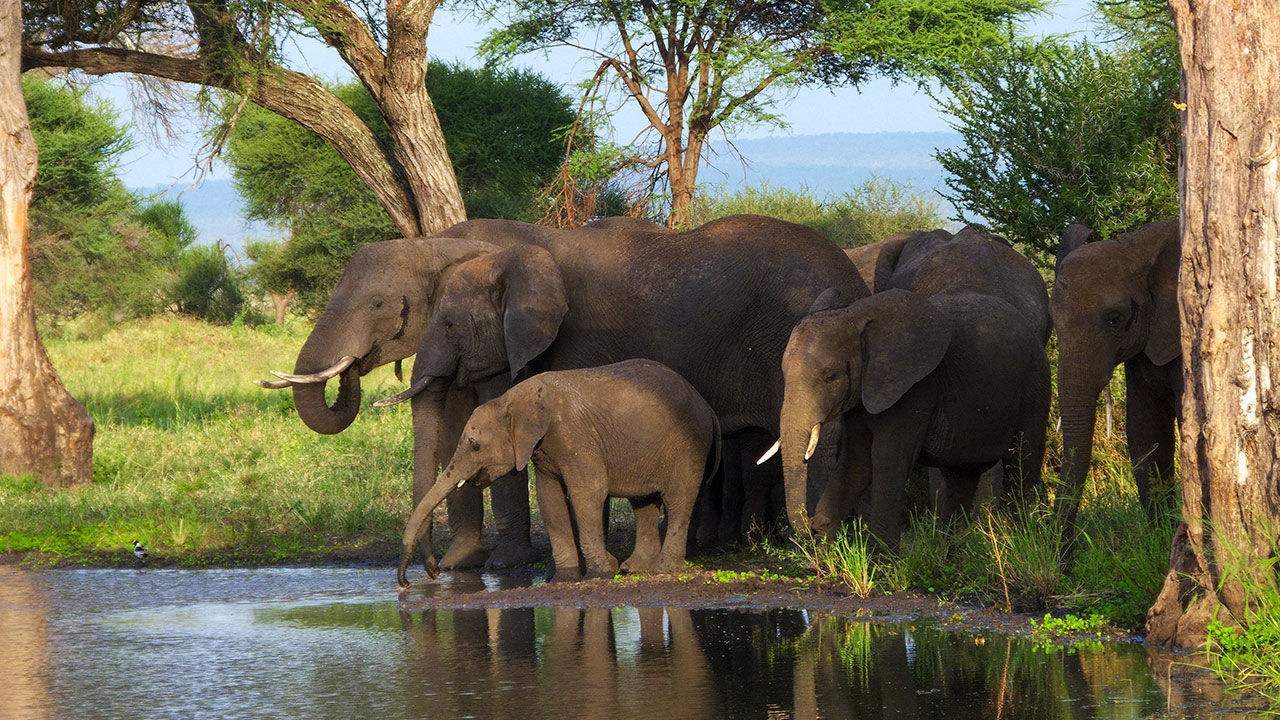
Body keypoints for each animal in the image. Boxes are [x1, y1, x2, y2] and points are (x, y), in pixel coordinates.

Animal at [398, 359, 720, 585]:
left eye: (475, 445)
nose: (431, 575)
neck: (513, 398)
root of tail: (707, 406)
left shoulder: (571, 433)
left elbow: (588, 491)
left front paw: (599, 575)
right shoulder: (542, 448)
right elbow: (549, 497)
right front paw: (565, 578)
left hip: (688, 444)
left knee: (678, 500)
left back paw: (663, 570)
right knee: (643, 502)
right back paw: (635, 569)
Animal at [773, 288, 1051, 545]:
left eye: (830, 377)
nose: (810, 525)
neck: (855, 314)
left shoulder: (915, 389)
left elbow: (887, 459)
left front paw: (882, 558)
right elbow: (857, 461)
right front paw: (827, 545)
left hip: (1035, 383)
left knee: (1022, 463)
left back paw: (1023, 535)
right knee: (961, 477)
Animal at [1051, 219, 1181, 552]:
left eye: (1114, 318)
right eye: (1053, 320)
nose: (1066, 559)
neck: (1137, 247)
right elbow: (1146, 433)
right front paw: (1162, 540)